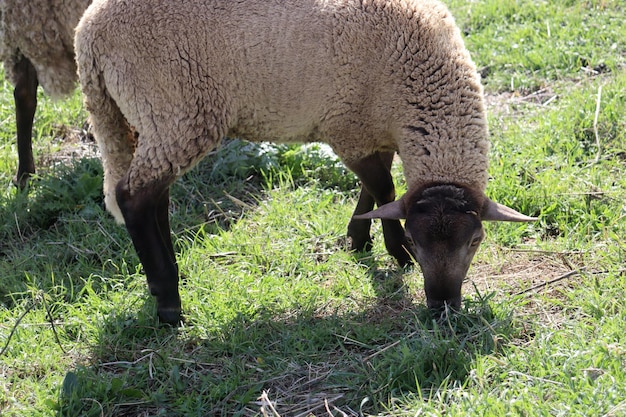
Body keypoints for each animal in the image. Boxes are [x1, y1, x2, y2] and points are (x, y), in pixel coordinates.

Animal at [74, 0, 536, 324]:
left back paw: (170, 277)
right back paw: (169, 303)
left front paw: (358, 236)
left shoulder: (373, 127)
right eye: (418, 238)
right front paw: (396, 251)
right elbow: (384, 188)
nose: (442, 308)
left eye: (475, 241)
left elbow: (377, 190)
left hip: (147, 120)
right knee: (133, 197)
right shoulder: (348, 130)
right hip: (173, 109)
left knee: (156, 198)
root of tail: (87, 34)